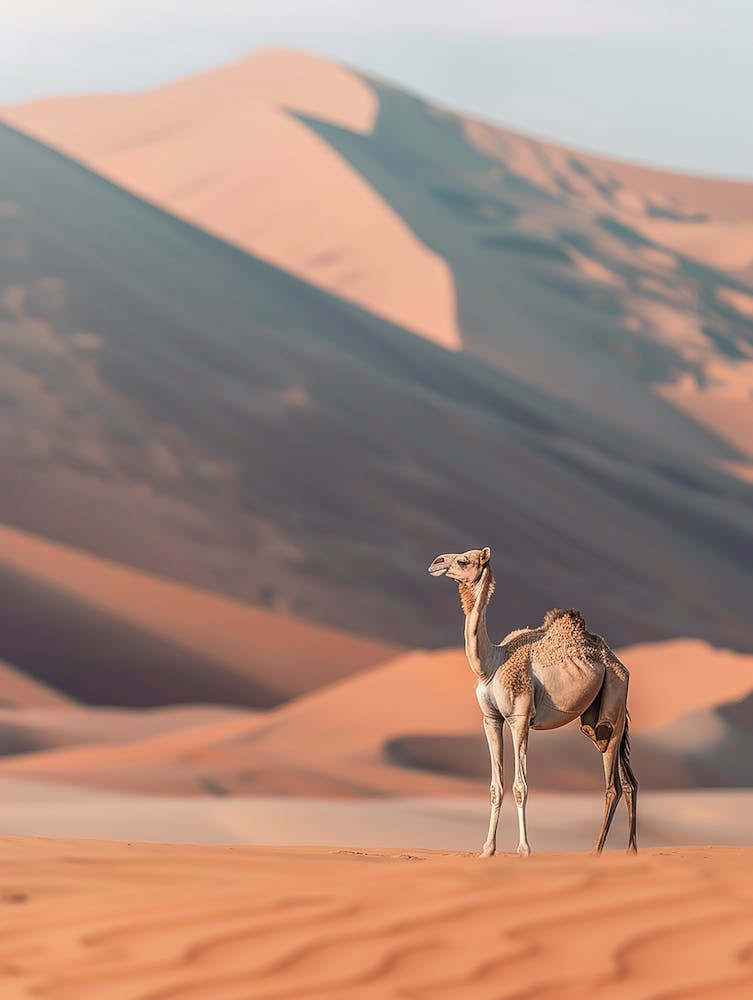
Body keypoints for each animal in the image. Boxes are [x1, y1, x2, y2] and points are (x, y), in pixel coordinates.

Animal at [428, 546, 637, 858]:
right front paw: (487, 850)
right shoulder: (491, 719)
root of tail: (618, 663)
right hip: (602, 718)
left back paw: (596, 850)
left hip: (614, 699)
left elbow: (520, 786)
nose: (436, 563)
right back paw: (631, 851)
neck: (491, 664)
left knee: (613, 785)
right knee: (628, 781)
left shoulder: (519, 717)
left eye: (464, 560)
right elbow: (496, 786)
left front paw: (524, 849)